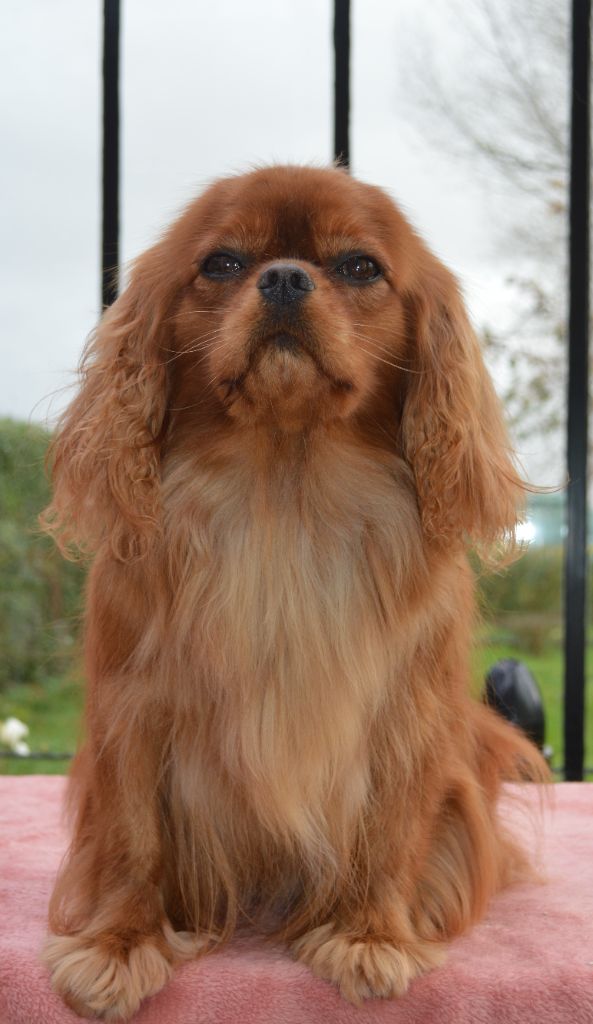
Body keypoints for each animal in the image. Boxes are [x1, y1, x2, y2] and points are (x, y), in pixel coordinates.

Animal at [41, 165, 547, 1019]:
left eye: (357, 267)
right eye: (221, 264)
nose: (282, 278)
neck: (286, 490)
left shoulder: (404, 719)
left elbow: (388, 831)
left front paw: (370, 935)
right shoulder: (134, 712)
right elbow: (135, 839)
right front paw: (121, 945)